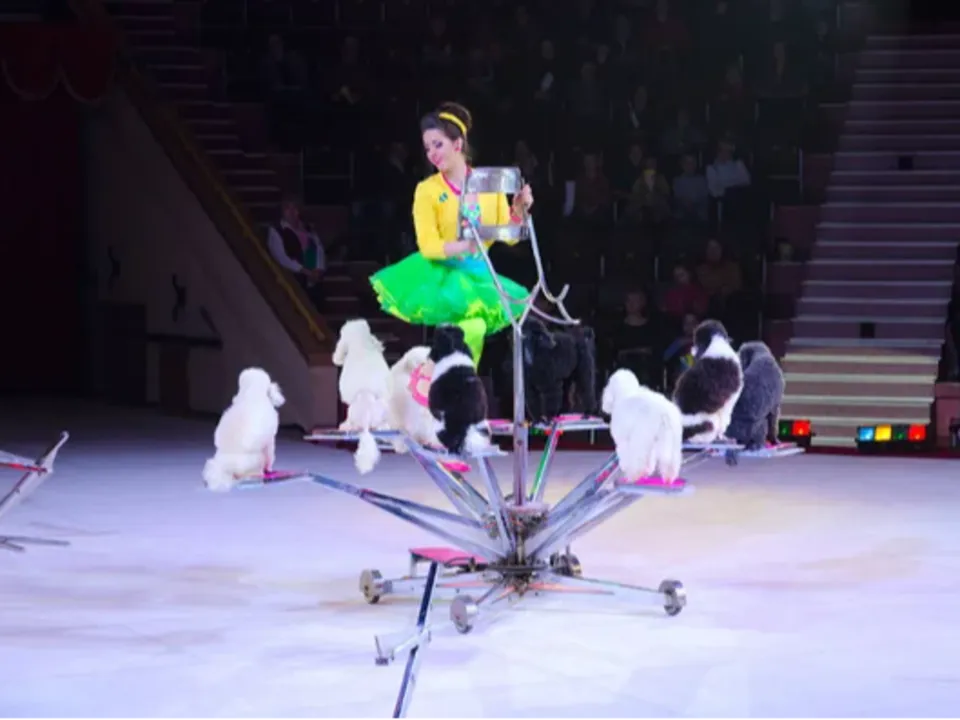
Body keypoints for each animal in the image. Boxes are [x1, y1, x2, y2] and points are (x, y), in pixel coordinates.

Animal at [427, 325, 491, 456]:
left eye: (435, 344)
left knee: (451, 439)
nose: (429, 354)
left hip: (443, 426)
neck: (454, 351)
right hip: (481, 424)